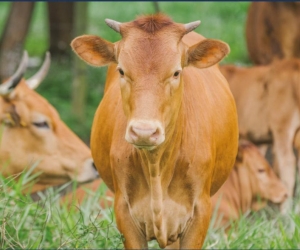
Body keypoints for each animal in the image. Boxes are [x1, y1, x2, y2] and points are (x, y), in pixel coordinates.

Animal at [71, 13, 239, 248]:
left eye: (176, 72)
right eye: (121, 70)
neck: (156, 165)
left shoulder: (200, 211)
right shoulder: (124, 211)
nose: (144, 131)